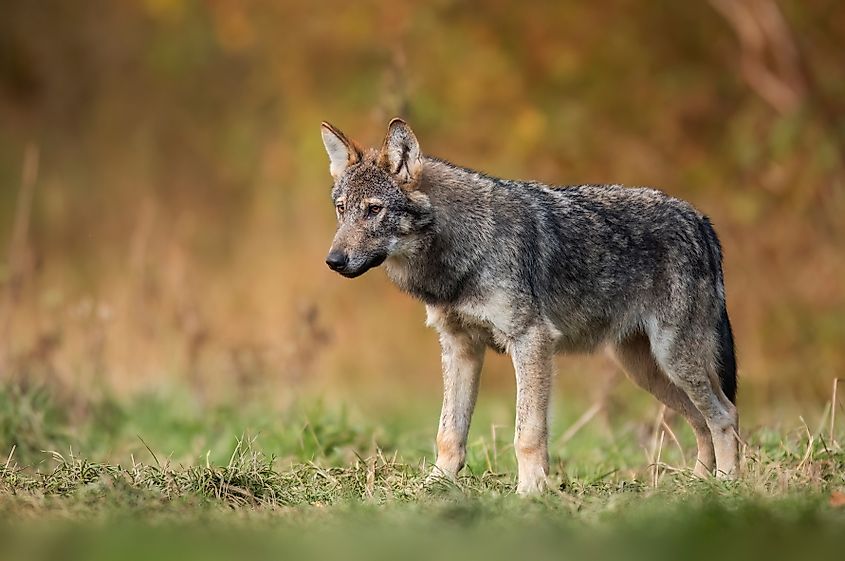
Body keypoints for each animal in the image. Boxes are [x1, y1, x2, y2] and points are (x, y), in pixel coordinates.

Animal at [320, 118, 738, 494]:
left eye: (373, 210)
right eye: (341, 209)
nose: (333, 261)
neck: (464, 250)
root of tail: (700, 219)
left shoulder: (532, 341)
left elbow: (528, 434)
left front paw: (529, 493)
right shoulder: (459, 347)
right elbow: (448, 432)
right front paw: (433, 486)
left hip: (673, 361)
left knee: (724, 415)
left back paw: (726, 485)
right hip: (646, 371)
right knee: (702, 421)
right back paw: (698, 485)